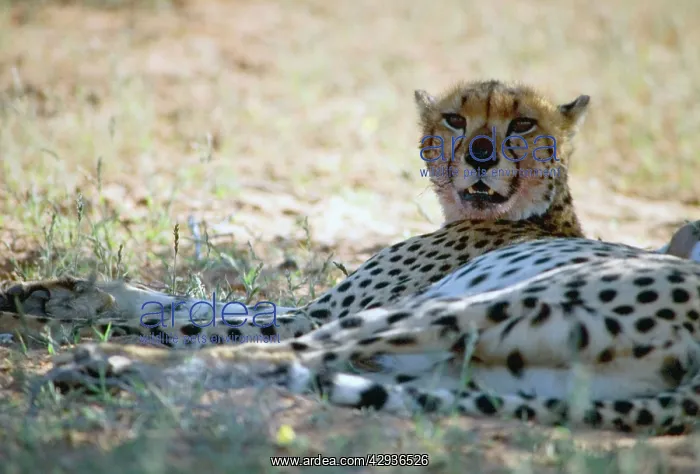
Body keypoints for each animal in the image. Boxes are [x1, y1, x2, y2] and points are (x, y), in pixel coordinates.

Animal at [3, 80, 700, 436]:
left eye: (523, 125)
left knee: (273, 356)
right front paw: (51, 293)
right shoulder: (316, 307)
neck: (528, 215)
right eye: (456, 118)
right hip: (463, 371)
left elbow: (205, 321)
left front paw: (42, 319)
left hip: (456, 312)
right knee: (299, 369)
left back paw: (99, 363)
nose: (479, 153)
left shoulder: (321, 312)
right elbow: (190, 301)